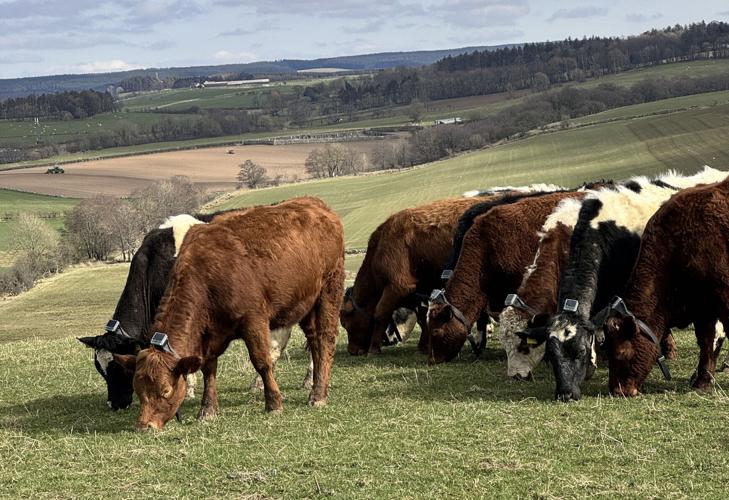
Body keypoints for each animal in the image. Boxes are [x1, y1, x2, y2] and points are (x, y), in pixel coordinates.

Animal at [114, 197, 344, 430]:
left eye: (165, 391)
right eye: (139, 390)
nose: (144, 426)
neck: (207, 275)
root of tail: (314, 203)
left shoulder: (254, 320)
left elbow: (261, 361)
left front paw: (273, 403)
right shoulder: (208, 335)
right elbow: (208, 368)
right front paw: (208, 409)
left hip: (329, 290)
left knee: (325, 339)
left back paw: (318, 394)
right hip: (305, 304)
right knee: (314, 342)